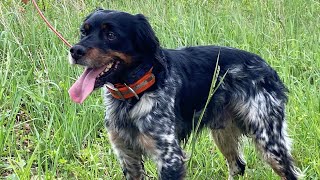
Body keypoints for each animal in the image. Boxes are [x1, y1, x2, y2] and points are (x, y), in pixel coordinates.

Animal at [67, 8, 300, 180]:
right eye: (84, 31)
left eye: (111, 35)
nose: (75, 51)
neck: (134, 94)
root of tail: (267, 68)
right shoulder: (127, 154)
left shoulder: (169, 158)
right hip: (223, 133)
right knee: (238, 166)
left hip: (269, 141)